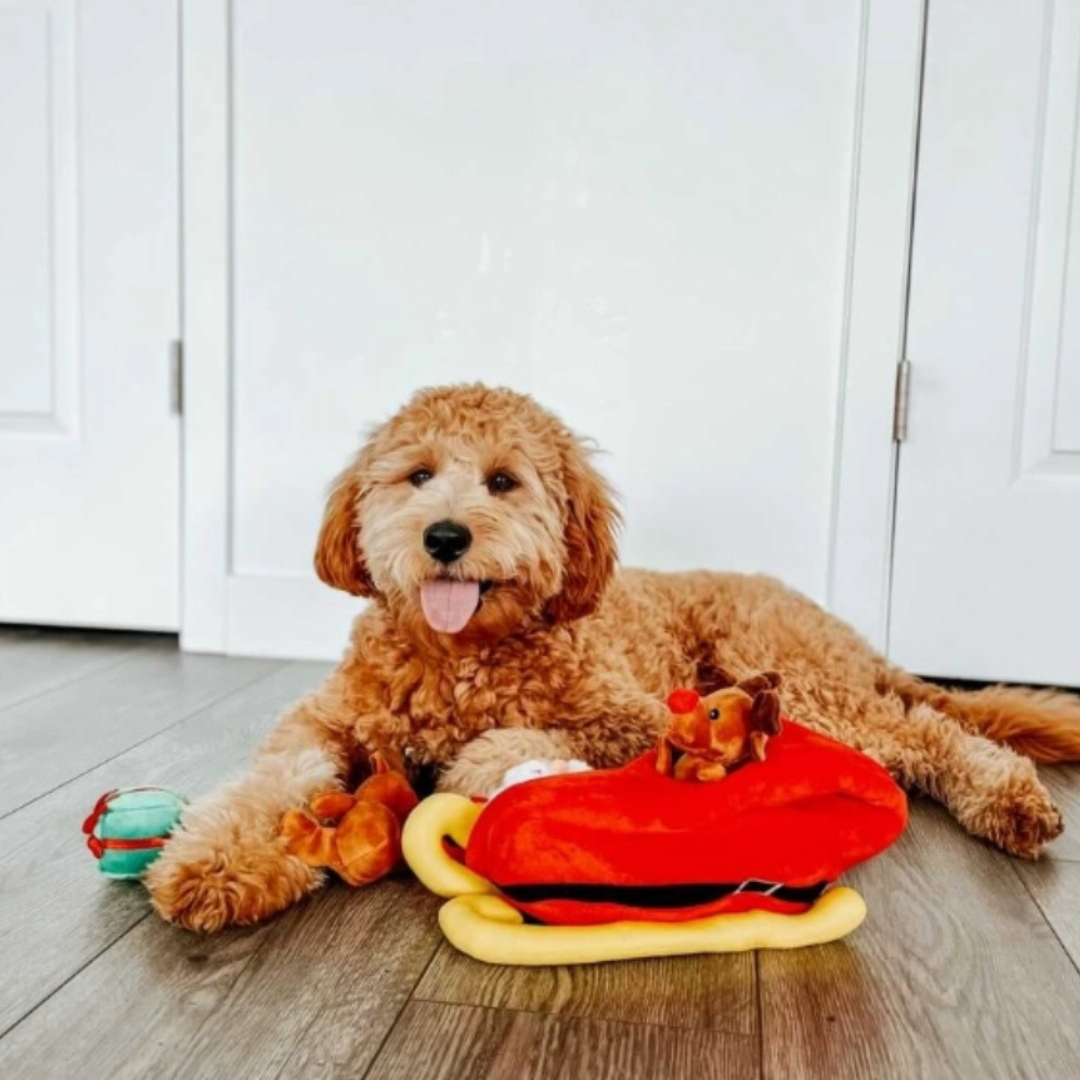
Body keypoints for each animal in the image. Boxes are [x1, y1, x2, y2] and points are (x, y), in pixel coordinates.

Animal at [147, 386, 1080, 928]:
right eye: (416, 475)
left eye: (503, 481)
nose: (443, 537)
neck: (460, 657)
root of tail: (844, 629)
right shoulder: (326, 723)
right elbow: (271, 784)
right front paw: (214, 865)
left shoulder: (633, 713)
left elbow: (537, 742)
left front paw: (480, 766)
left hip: (789, 671)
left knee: (926, 734)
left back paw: (1006, 799)